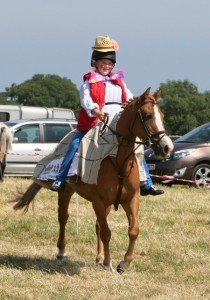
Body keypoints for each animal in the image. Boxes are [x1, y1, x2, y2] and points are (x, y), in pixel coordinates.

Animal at [11, 87, 174, 274]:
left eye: (162, 115)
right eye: (148, 115)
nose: (167, 147)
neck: (118, 161)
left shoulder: (131, 199)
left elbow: (133, 230)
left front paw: (124, 263)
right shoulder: (98, 201)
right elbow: (106, 232)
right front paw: (109, 262)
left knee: (96, 225)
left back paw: (99, 257)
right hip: (66, 192)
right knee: (63, 218)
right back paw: (61, 251)